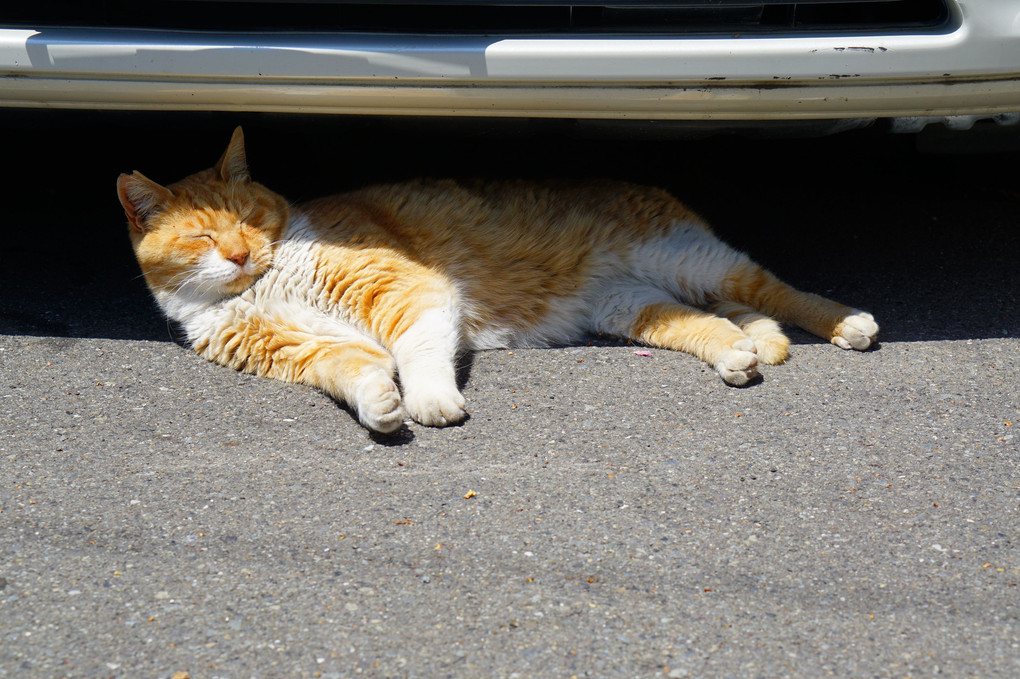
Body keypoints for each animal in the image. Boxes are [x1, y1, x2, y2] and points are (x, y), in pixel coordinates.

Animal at [113, 126, 877, 430]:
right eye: (203, 236)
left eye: (248, 217)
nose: (241, 254)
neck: (259, 287)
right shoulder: (304, 349)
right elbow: (355, 370)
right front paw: (380, 405)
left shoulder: (408, 293)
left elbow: (418, 351)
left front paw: (428, 399)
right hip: (633, 305)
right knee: (714, 320)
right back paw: (742, 352)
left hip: (686, 256)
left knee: (773, 290)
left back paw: (846, 323)